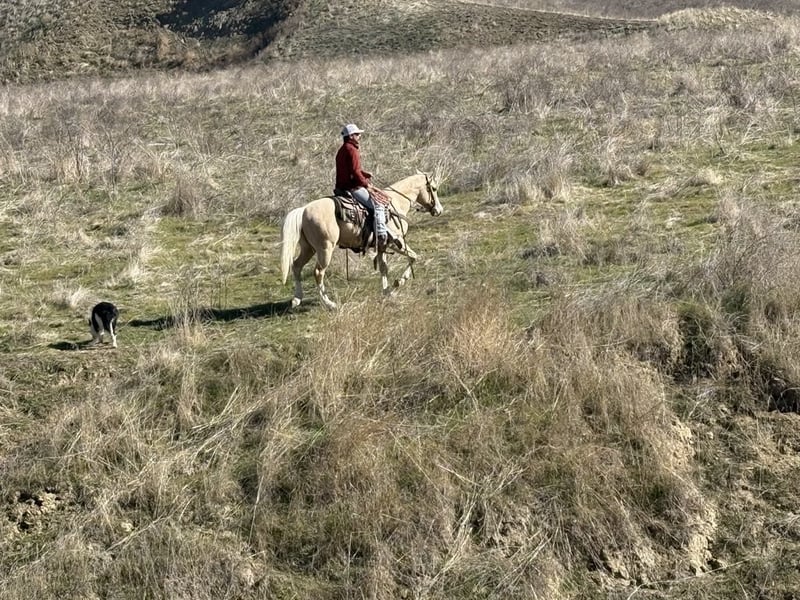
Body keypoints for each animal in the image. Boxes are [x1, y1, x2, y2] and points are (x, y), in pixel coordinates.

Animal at [280, 170, 443, 309]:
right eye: (434, 189)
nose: (439, 210)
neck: (396, 202)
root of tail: (303, 210)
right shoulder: (396, 243)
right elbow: (414, 257)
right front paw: (398, 282)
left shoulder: (382, 246)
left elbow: (384, 268)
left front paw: (387, 292)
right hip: (325, 249)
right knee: (318, 272)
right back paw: (329, 304)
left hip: (308, 248)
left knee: (296, 266)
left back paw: (297, 299)